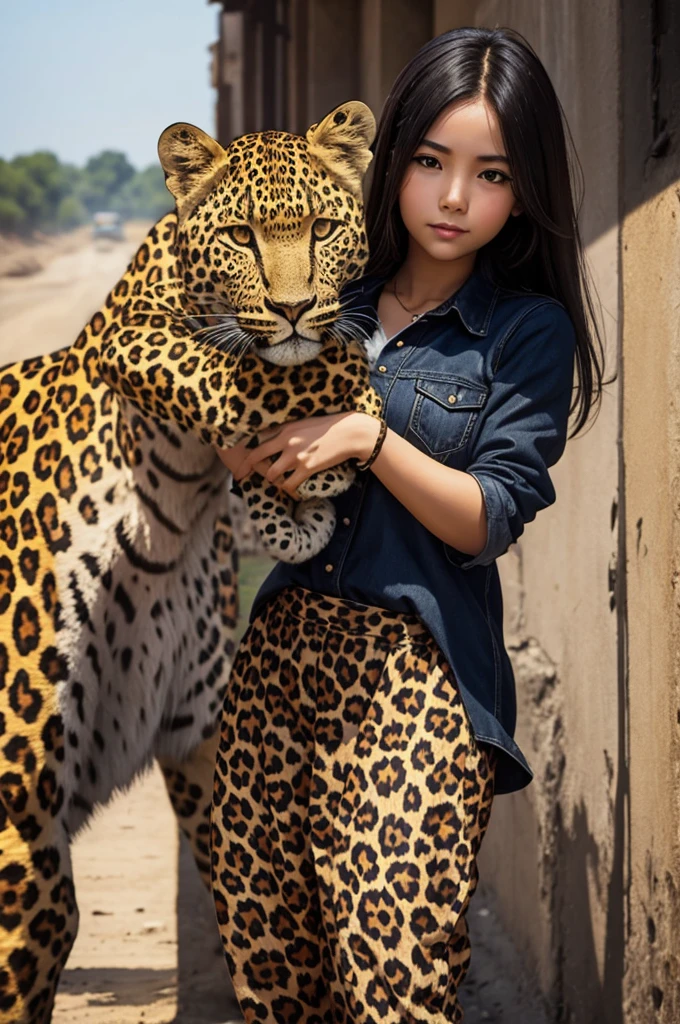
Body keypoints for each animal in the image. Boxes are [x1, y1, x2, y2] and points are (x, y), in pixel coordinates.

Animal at [0, 99, 378, 1019]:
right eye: (241, 236)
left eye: (321, 228)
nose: (294, 308)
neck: (170, 500)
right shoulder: (19, 822)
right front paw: (354, 391)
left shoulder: (210, 751)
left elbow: (274, 940)